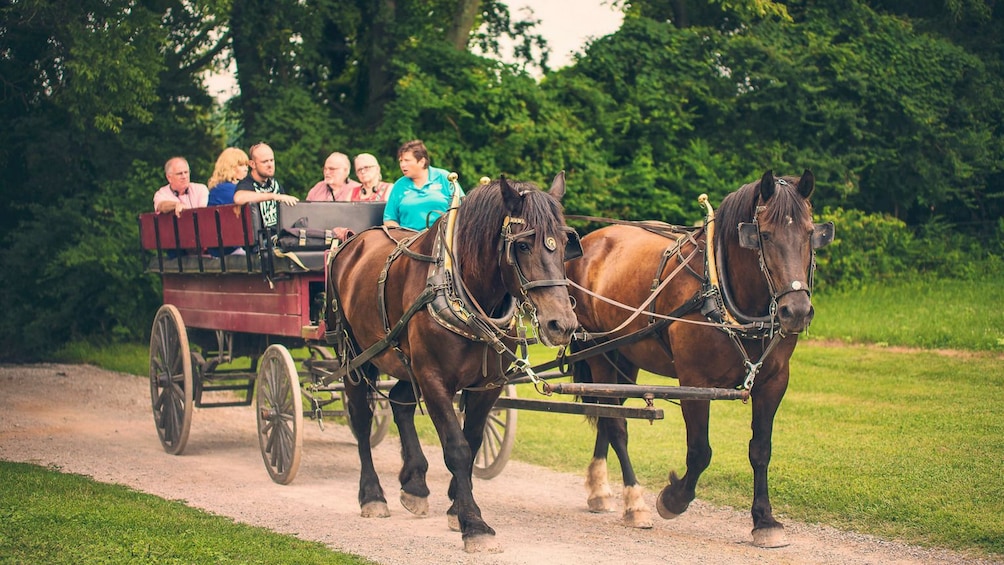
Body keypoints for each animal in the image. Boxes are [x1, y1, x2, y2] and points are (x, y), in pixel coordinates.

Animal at [329, 173, 582, 553]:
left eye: (566, 243)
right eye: (523, 245)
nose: (561, 324)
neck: (465, 291)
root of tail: (353, 241)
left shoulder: (486, 386)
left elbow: (473, 440)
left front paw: (455, 507)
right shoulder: (433, 379)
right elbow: (458, 448)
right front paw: (474, 523)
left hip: (405, 362)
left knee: (400, 402)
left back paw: (415, 483)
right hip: (357, 356)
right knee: (361, 418)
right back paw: (372, 495)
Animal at [570, 170, 835, 545]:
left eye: (810, 234)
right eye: (765, 235)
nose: (796, 311)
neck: (722, 291)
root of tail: (590, 241)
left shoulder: (774, 381)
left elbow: (761, 449)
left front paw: (764, 520)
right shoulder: (694, 382)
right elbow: (700, 451)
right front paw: (673, 499)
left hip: (624, 356)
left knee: (609, 413)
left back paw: (599, 490)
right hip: (599, 352)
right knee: (615, 424)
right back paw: (634, 503)